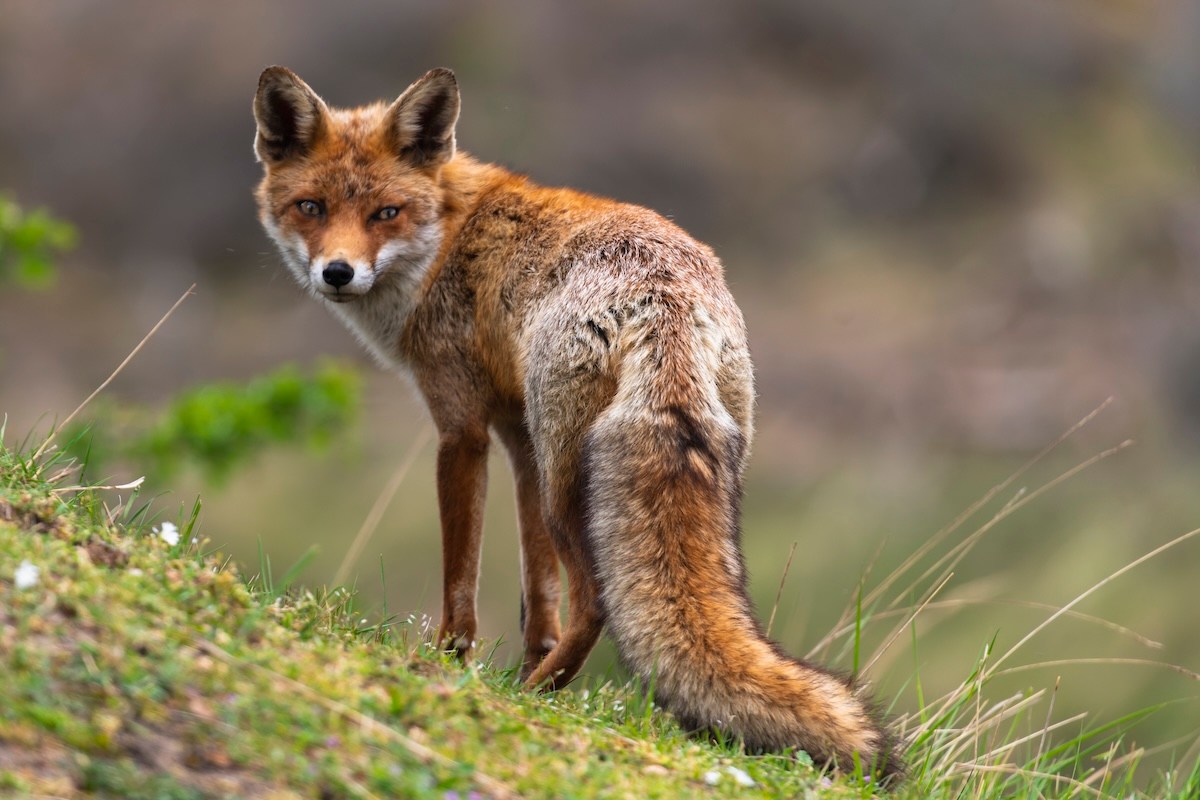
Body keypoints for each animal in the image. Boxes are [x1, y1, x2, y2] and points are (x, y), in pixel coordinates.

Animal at [253, 65, 900, 780]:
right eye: (311, 207)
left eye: (385, 214)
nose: (337, 273)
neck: (446, 239)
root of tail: (666, 296)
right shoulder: (519, 435)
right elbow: (538, 588)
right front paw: (526, 657)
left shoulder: (462, 429)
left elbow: (462, 578)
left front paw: (452, 663)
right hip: (602, 457)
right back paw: (539, 685)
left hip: (570, 485)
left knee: (595, 600)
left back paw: (531, 698)